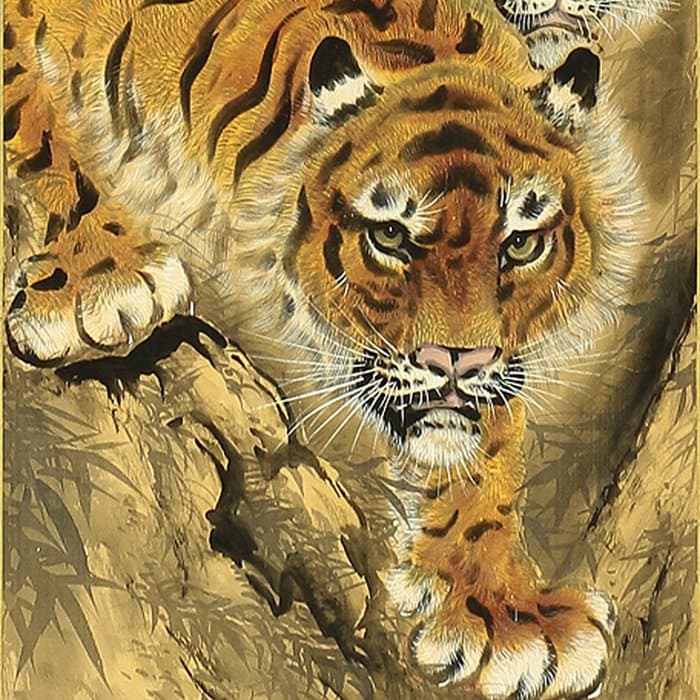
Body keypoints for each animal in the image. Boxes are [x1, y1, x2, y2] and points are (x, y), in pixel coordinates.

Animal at [3, 0, 674, 697]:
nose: (457, 362)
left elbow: (482, 455)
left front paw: (500, 609)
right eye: (390, 236)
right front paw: (99, 277)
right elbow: (33, 121)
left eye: (521, 243)